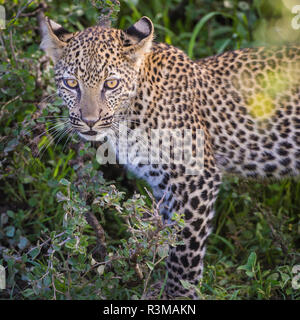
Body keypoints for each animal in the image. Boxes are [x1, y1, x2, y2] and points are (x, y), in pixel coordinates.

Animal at [39, 13, 300, 298]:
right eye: (71, 83)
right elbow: (165, 233)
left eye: (111, 84)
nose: (89, 121)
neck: (130, 114)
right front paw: (157, 278)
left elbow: (185, 246)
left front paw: (179, 293)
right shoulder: (163, 183)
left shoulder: (196, 178)